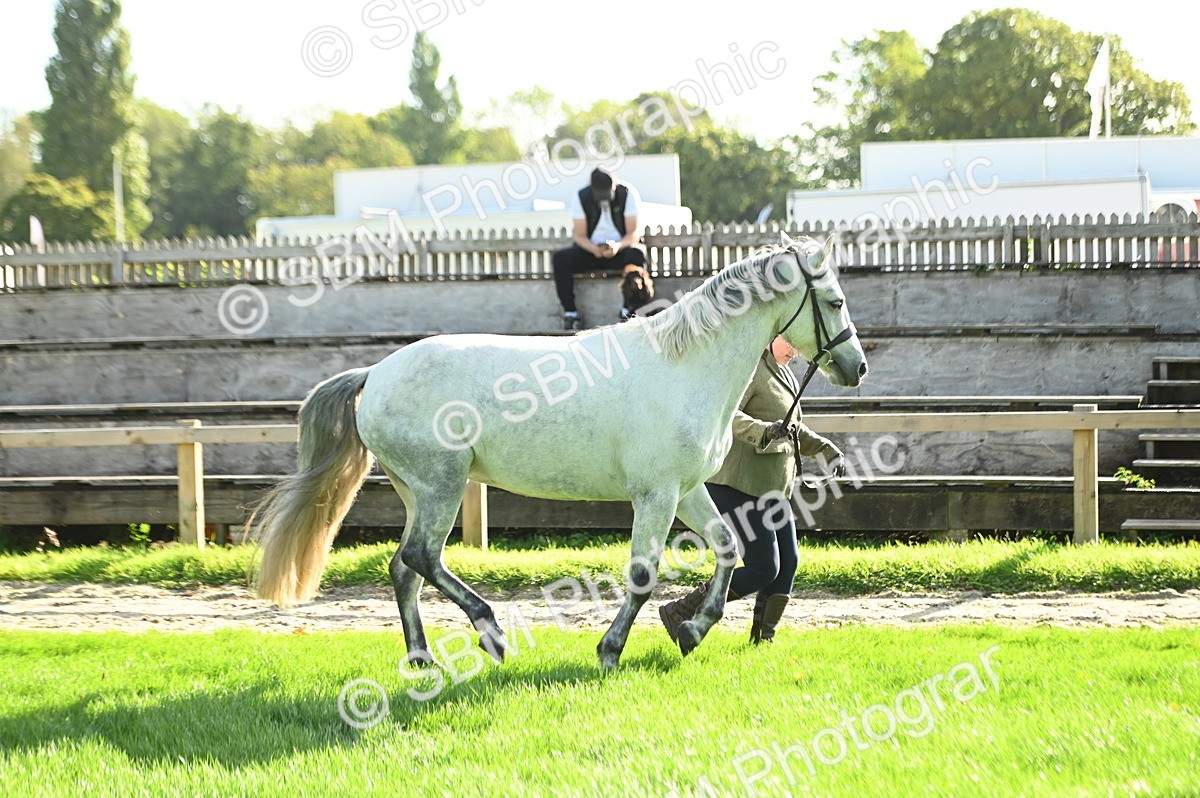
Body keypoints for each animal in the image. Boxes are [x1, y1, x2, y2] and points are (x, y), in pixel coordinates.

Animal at [250, 234, 867, 670]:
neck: (684, 367)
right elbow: (643, 573)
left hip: (417, 491)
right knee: (422, 558)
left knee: (404, 568)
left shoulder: (687, 490)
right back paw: (492, 634)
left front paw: (692, 631)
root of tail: (375, 372)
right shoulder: (656, 495)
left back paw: (422, 658)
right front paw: (610, 649)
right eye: (835, 299)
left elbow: (728, 549)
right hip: (441, 486)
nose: (857, 366)